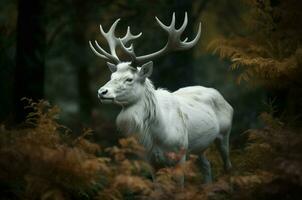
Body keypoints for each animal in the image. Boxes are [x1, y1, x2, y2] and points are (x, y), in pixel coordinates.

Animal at [89, 12, 234, 184]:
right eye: (111, 76)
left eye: (129, 79)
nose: (102, 92)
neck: (158, 135)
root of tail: (223, 98)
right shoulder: (151, 161)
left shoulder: (180, 155)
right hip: (199, 147)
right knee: (206, 165)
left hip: (225, 133)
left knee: (228, 165)